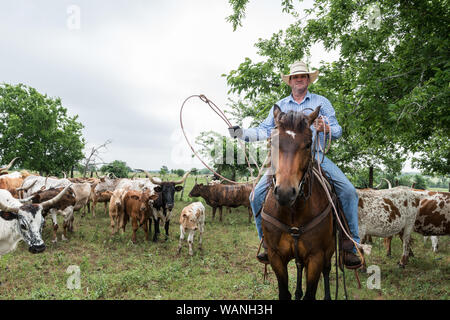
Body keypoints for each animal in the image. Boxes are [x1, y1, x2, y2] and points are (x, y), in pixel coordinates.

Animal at [260, 105, 334, 300]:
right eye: (272, 142)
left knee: (327, 269)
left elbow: (311, 293)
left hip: (329, 249)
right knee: (300, 266)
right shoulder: (275, 256)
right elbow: (284, 292)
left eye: (308, 144)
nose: (285, 193)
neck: (293, 213)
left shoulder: (316, 256)